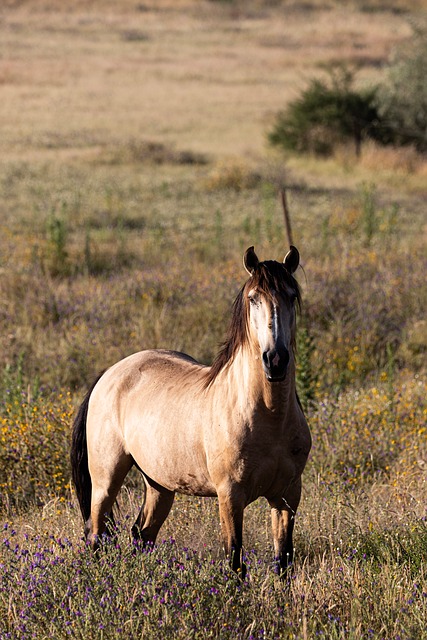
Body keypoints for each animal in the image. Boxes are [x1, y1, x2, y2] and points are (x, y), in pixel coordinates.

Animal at [71, 246, 311, 578]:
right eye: (253, 298)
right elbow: (235, 560)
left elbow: (284, 561)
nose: (275, 360)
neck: (269, 418)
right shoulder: (230, 496)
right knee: (96, 534)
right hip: (105, 480)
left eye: (291, 295)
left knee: (142, 534)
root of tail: (109, 374)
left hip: (159, 484)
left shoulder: (287, 497)